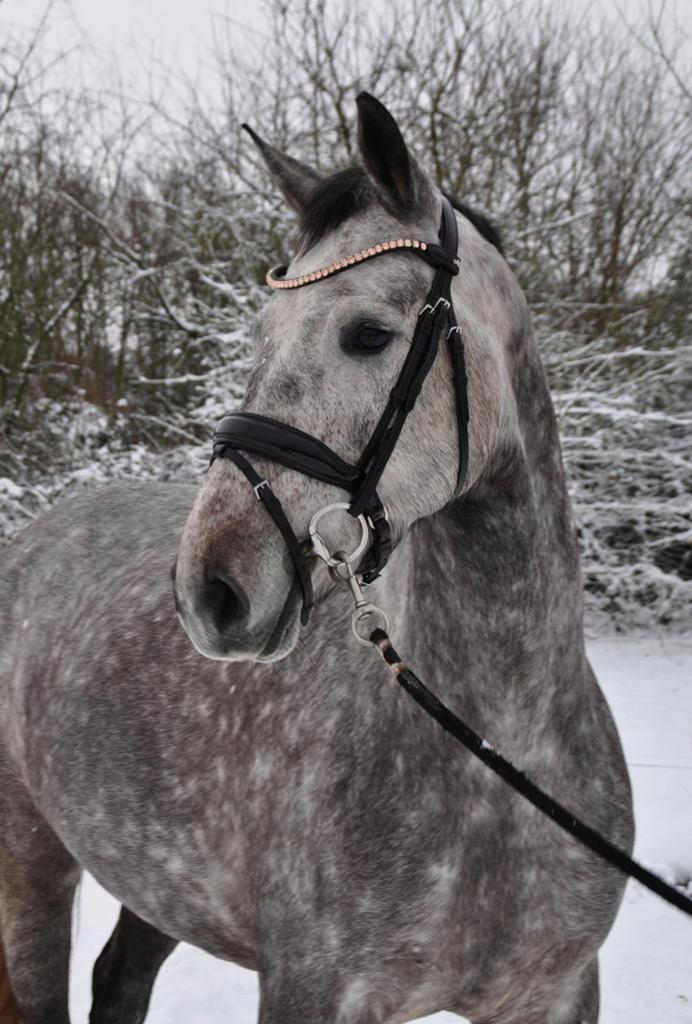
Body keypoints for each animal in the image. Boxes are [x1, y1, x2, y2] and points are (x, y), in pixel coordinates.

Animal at [0, 93, 633, 1024]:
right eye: (260, 332)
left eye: (367, 334)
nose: (210, 592)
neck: (499, 761)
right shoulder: (312, 988)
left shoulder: (557, 993)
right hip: (32, 858)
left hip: (159, 880)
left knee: (119, 979)